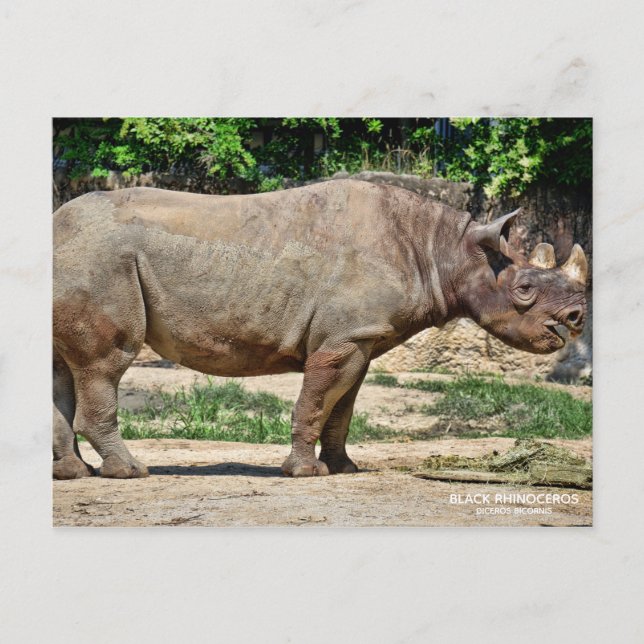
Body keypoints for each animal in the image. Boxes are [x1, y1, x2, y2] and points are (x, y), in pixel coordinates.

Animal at [53, 180, 588, 479]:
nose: (578, 317)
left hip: (81, 259)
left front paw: (344, 469)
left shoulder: (362, 338)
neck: (445, 250)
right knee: (105, 364)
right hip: (101, 260)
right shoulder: (344, 338)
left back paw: (75, 474)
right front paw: (305, 473)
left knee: (63, 370)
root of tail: (57, 227)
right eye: (524, 288)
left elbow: (341, 408)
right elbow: (315, 401)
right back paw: (129, 473)